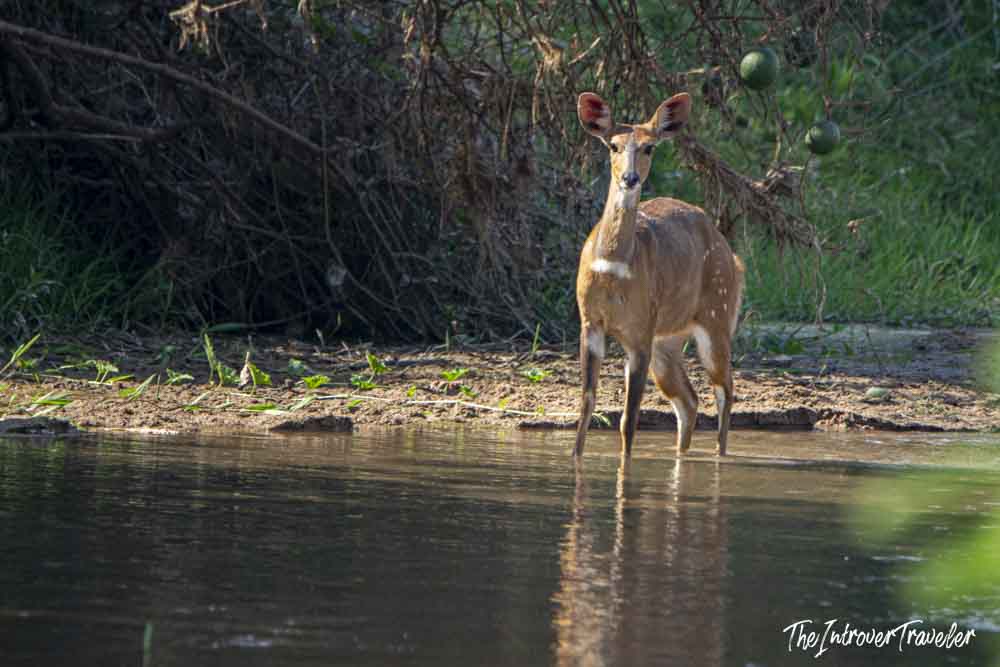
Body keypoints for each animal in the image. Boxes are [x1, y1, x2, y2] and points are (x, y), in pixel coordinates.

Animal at [573, 91, 744, 457]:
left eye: (649, 147)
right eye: (613, 145)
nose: (630, 178)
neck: (612, 268)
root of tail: (734, 259)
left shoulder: (639, 333)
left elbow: (628, 420)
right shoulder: (590, 323)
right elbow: (586, 405)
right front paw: (575, 459)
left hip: (716, 319)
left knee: (724, 390)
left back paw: (720, 457)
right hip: (668, 341)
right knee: (689, 400)